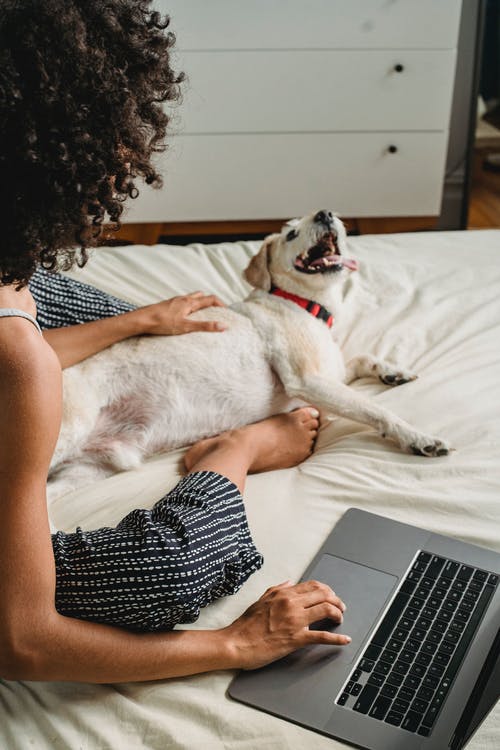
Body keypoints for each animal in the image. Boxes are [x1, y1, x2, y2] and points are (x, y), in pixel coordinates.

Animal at [49, 209, 450, 500]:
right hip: (66, 430)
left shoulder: (331, 371)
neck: (303, 305)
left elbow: (361, 358)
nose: (326, 213)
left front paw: (392, 371)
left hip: (93, 466)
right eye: (290, 234)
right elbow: (376, 410)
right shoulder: (309, 379)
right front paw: (418, 438)